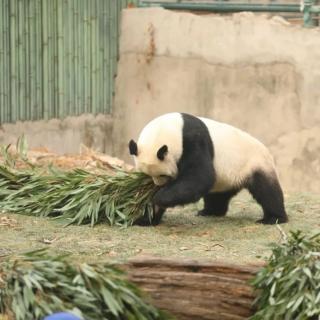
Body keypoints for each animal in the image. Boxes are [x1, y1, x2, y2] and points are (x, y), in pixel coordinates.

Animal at [129, 112, 288, 225]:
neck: (171, 128)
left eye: (162, 175)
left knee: (267, 191)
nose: (159, 185)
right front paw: (146, 217)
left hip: (255, 163)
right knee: (217, 195)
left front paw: (158, 198)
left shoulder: (194, 140)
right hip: (225, 177)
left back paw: (274, 218)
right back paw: (210, 211)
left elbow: (200, 176)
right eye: (147, 175)